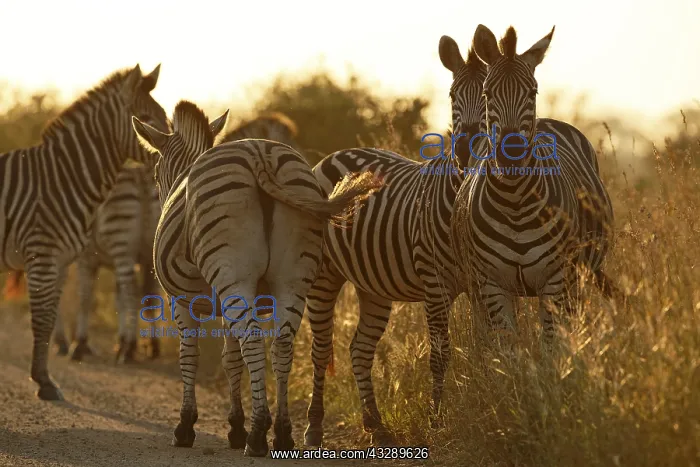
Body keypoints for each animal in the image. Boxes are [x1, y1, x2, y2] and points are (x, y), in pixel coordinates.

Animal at [0, 64, 169, 401]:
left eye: (166, 117)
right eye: (145, 119)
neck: (60, 179)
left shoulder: (60, 260)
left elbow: (54, 311)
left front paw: (47, 374)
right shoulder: (45, 256)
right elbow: (46, 316)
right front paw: (49, 373)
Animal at [131, 101, 381, 456]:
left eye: (155, 172)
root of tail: (259, 156)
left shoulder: (182, 301)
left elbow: (191, 355)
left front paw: (187, 426)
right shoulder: (227, 300)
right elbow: (231, 359)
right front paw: (236, 426)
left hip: (234, 274)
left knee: (253, 340)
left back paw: (259, 434)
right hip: (289, 279)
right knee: (282, 345)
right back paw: (283, 433)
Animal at [303, 35, 487, 446]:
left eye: (489, 95)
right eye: (452, 94)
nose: (466, 149)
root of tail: (330, 156)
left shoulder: (483, 283)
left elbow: (487, 348)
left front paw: (494, 405)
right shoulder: (434, 284)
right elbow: (440, 354)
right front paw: (437, 421)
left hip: (373, 285)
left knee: (359, 349)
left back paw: (375, 423)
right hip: (323, 274)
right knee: (321, 348)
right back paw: (314, 427)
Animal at [450, 24, 617, 344]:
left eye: (532, 92)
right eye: (488, 93)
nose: (510, 152)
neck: (514, 199)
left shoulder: (555, 281)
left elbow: (551, 345)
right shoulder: (493, 285)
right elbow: (508, 347)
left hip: (578, 276)